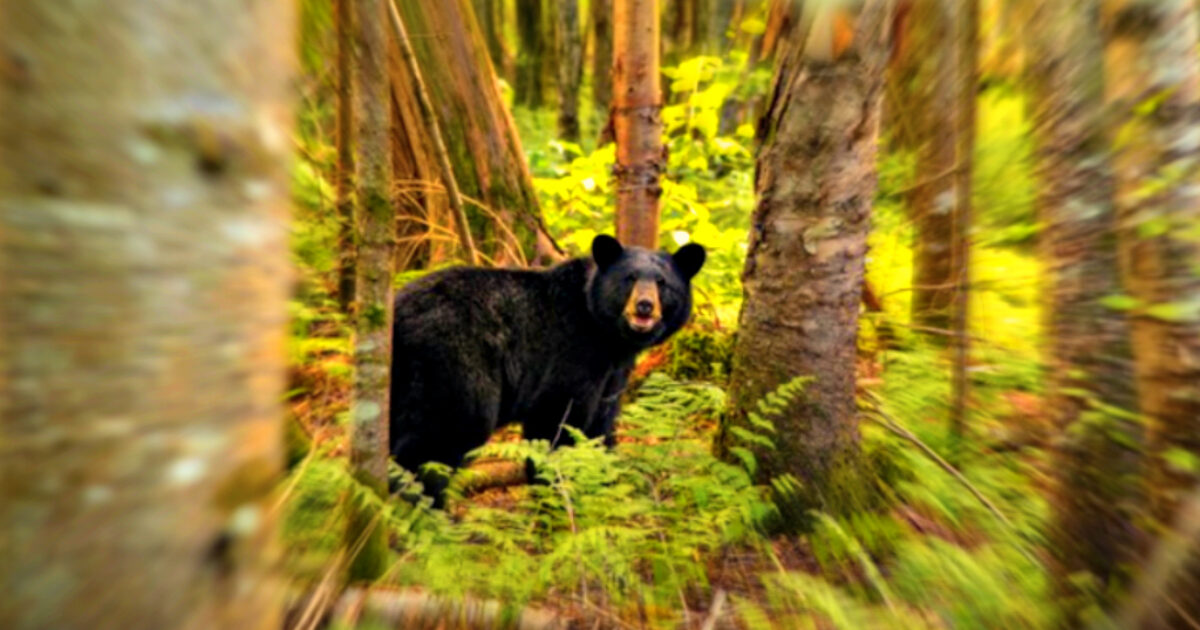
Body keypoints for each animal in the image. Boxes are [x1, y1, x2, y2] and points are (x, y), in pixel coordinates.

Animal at [388, 234, 706, 506]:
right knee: (442, 437)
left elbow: (599, 425)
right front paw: (555, 495)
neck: (607, 334)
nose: (644, 306)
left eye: (662, 283)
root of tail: (399, 312)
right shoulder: (572, 352)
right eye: (629, 279)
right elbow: (558, 421)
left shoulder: (613, 373)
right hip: (455, 363)